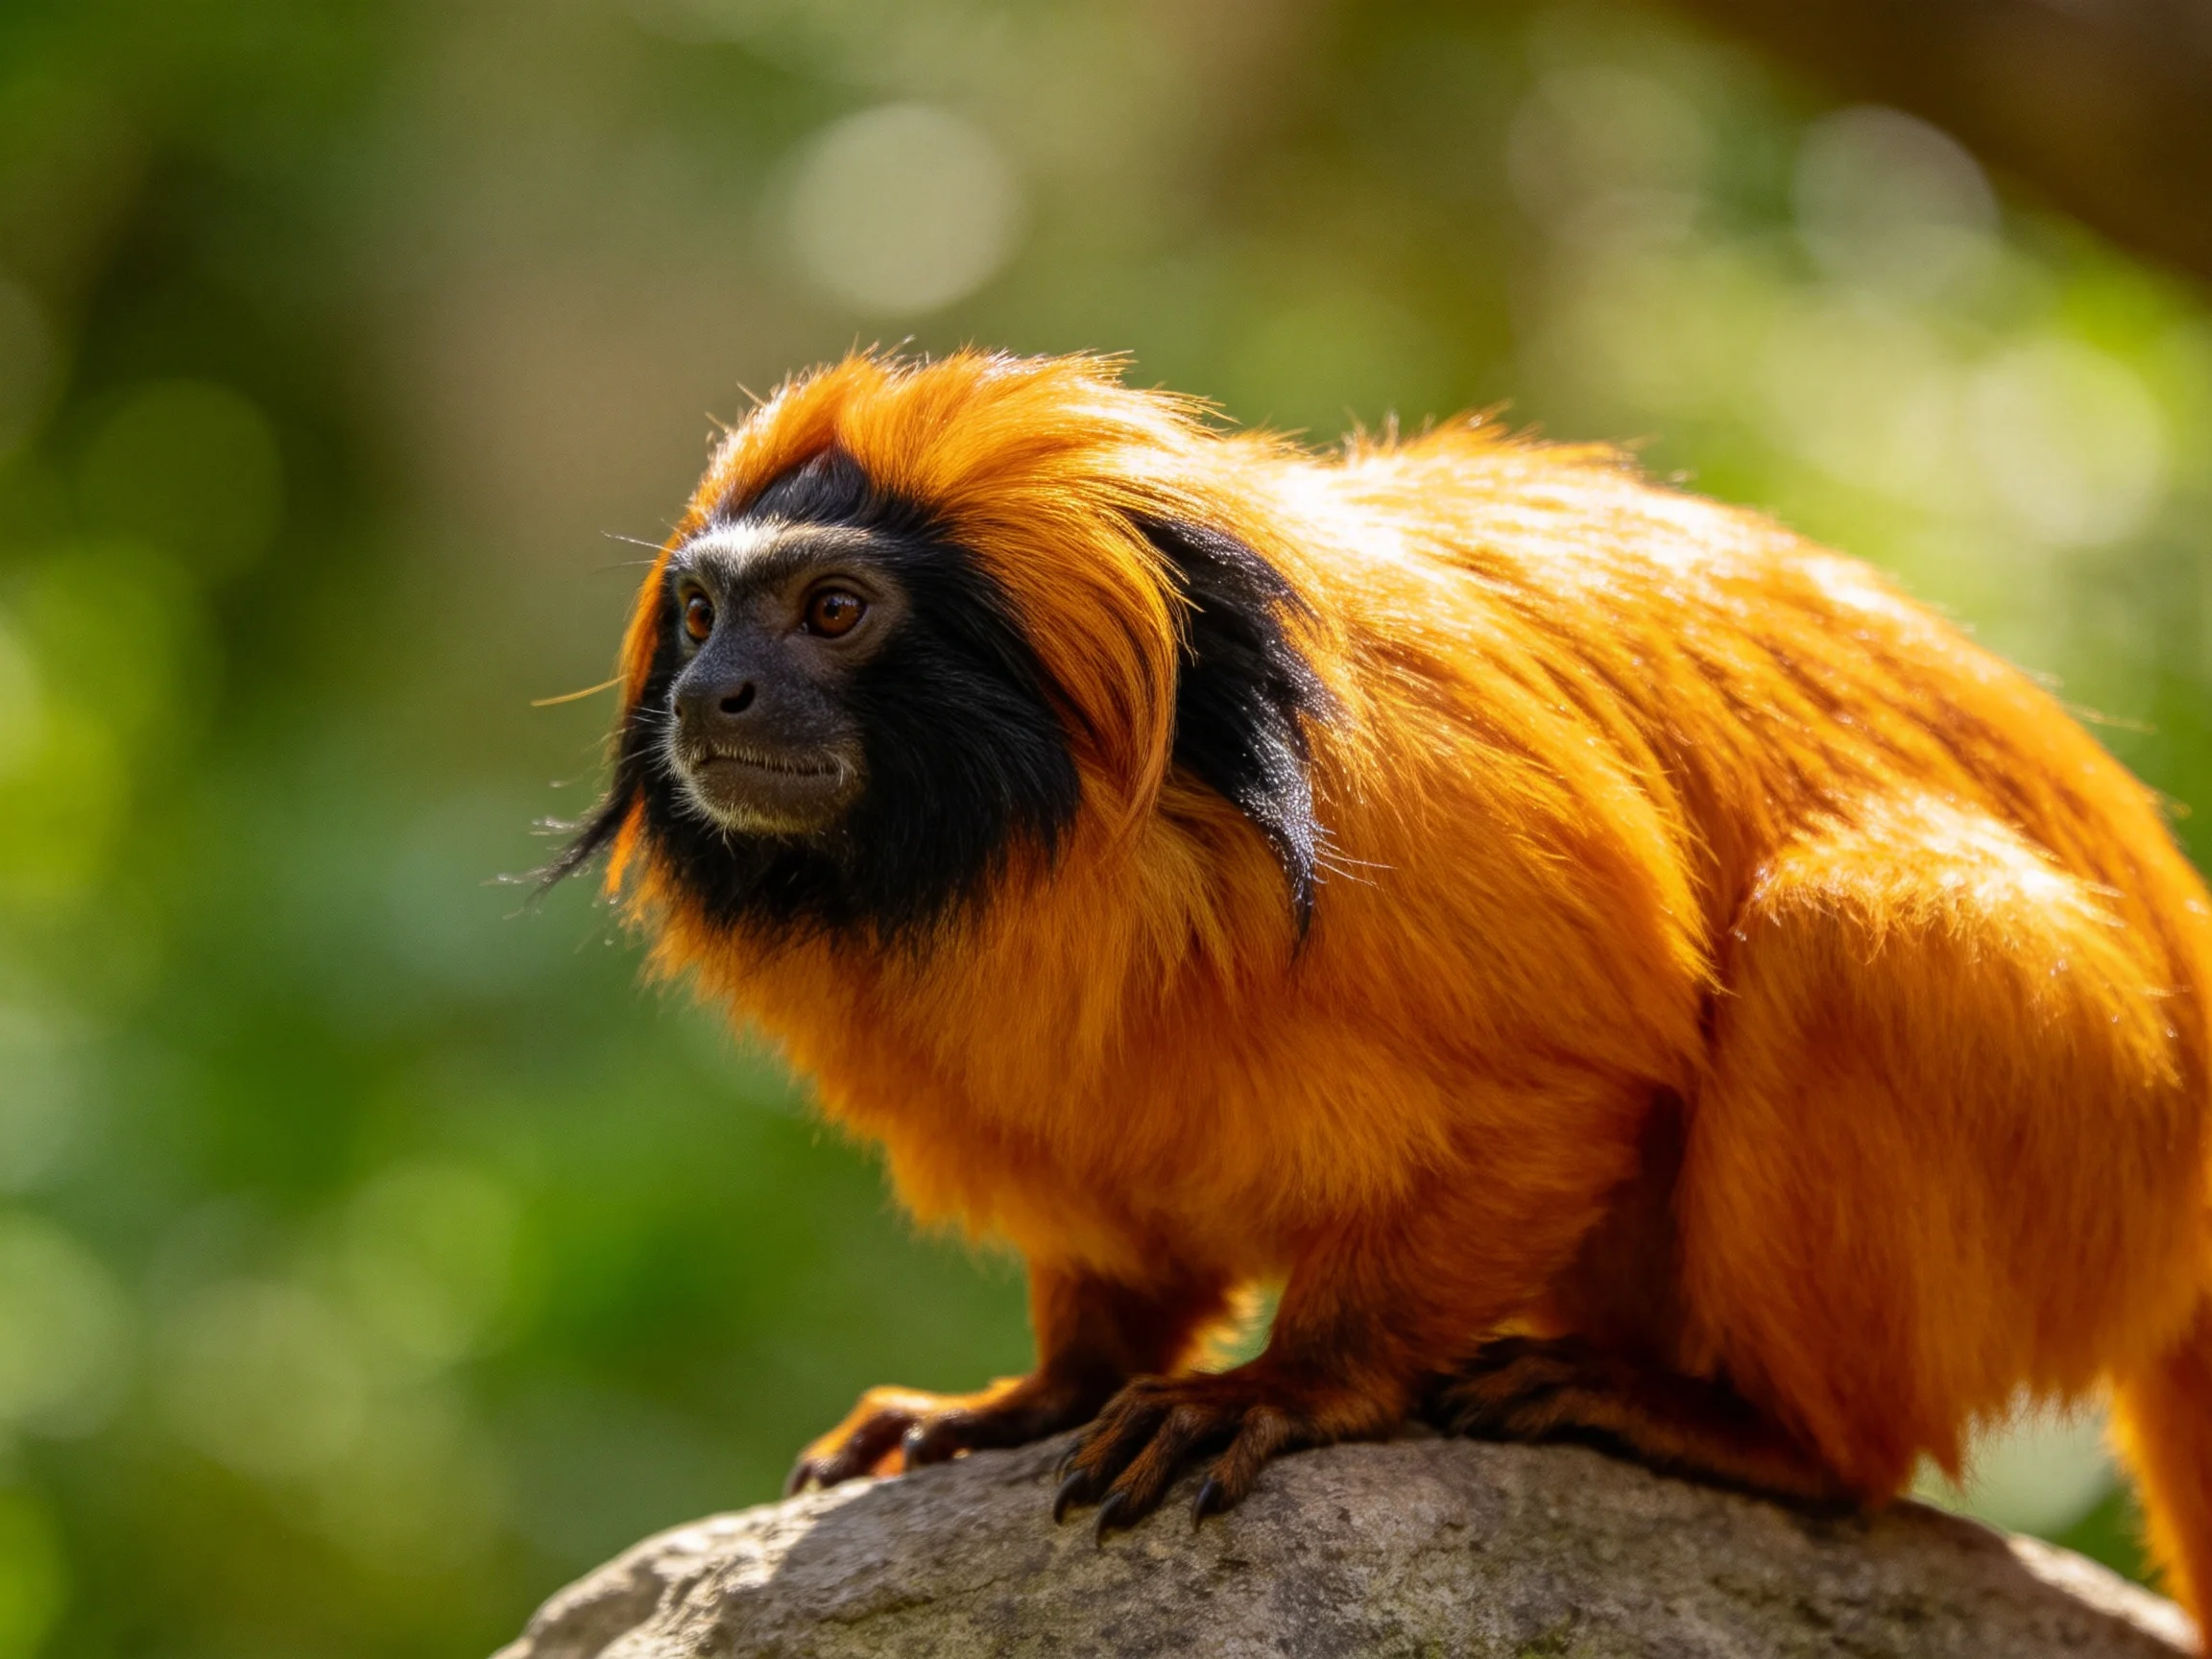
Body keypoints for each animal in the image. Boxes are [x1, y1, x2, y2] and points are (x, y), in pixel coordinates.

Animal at [547, 349, 2212, 1631]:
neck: (1109, 831)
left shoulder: (1421, 801)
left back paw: (1762, 1433)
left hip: (2104, 1171)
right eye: (701, 618)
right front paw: (1050, 1386)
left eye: (832, 613)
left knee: (1860, 931)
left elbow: (1574, 1061)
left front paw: (1295, 1384)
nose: (714, 695)